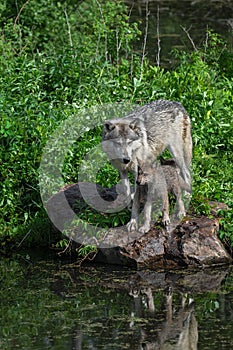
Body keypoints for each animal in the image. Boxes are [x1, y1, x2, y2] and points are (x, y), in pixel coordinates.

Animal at [101, 100, 192, 232]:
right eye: (118, 143)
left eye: (129, 142)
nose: (126, 159)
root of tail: (177, 103)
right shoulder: (122, 171)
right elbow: (126, 191)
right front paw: (129, 206)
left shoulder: (137, 175)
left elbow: (136, 201)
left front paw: (133, 222)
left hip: (177, 153)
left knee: (186, 172)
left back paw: (186, 196)